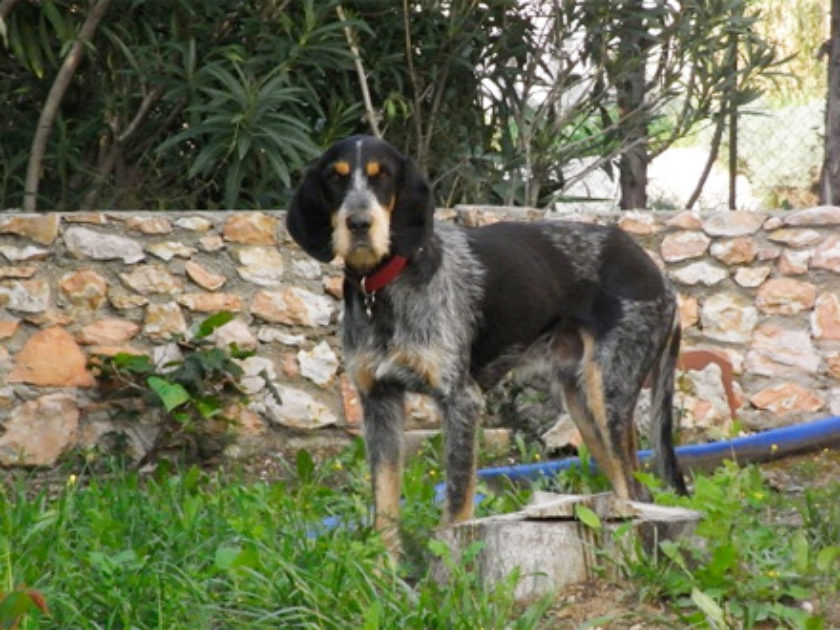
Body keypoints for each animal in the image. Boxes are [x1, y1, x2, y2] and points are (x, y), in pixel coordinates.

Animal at [286, 135, 684, 552]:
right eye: (335, 178)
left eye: (384, 178)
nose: (359, 224)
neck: (383, 289)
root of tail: (661, 277)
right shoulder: (379, 404)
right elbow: (385, 513)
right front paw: (385, 568)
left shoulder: (462, 401)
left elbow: (457, 507)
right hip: (583, 404)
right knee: (629, 493)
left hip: (609, 394)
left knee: (636, 495)